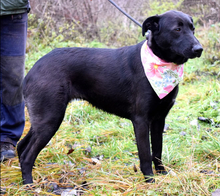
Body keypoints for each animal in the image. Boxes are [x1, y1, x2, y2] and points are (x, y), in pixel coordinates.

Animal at [17, 10, 203, 185]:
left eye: (193, 29)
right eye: (177, 29)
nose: (199, 49)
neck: (160, 62)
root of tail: (31, 72)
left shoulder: (159, 119)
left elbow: (157, 150)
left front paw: (162, 173)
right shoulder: (141, 120)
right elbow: (145, 154)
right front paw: (150, 180)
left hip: (42, 119)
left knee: (21, 146)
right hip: (50, 118)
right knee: (27, 155)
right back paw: (29, 184)